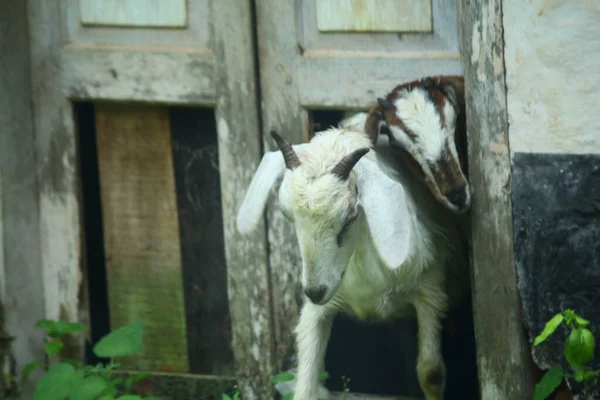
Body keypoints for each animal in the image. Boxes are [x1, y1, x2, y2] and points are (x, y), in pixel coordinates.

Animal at [237, 126, 472, 400]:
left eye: (349, 216)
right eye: (287, 215)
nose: (314, 291)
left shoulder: (431, 293)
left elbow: (431, 373)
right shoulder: (318, 309)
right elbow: (306, 381)